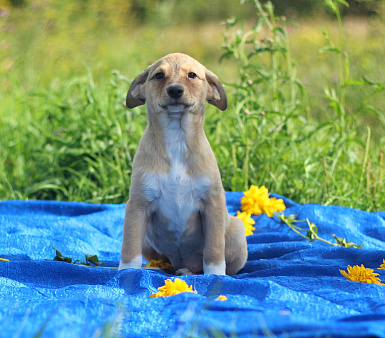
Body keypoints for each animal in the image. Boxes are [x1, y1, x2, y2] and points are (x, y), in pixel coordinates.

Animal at [118, 52, 248, 274]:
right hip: (148, 242)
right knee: (162, 261)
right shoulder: (138, 204)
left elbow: (214, 250)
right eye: (159, 75)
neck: (176, 138)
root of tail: (184, 264)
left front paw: (215, 276)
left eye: (192, 75)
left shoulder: (212, 204)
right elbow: (129, 248)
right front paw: (126, 273)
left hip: (238, 232)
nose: (175, 90)